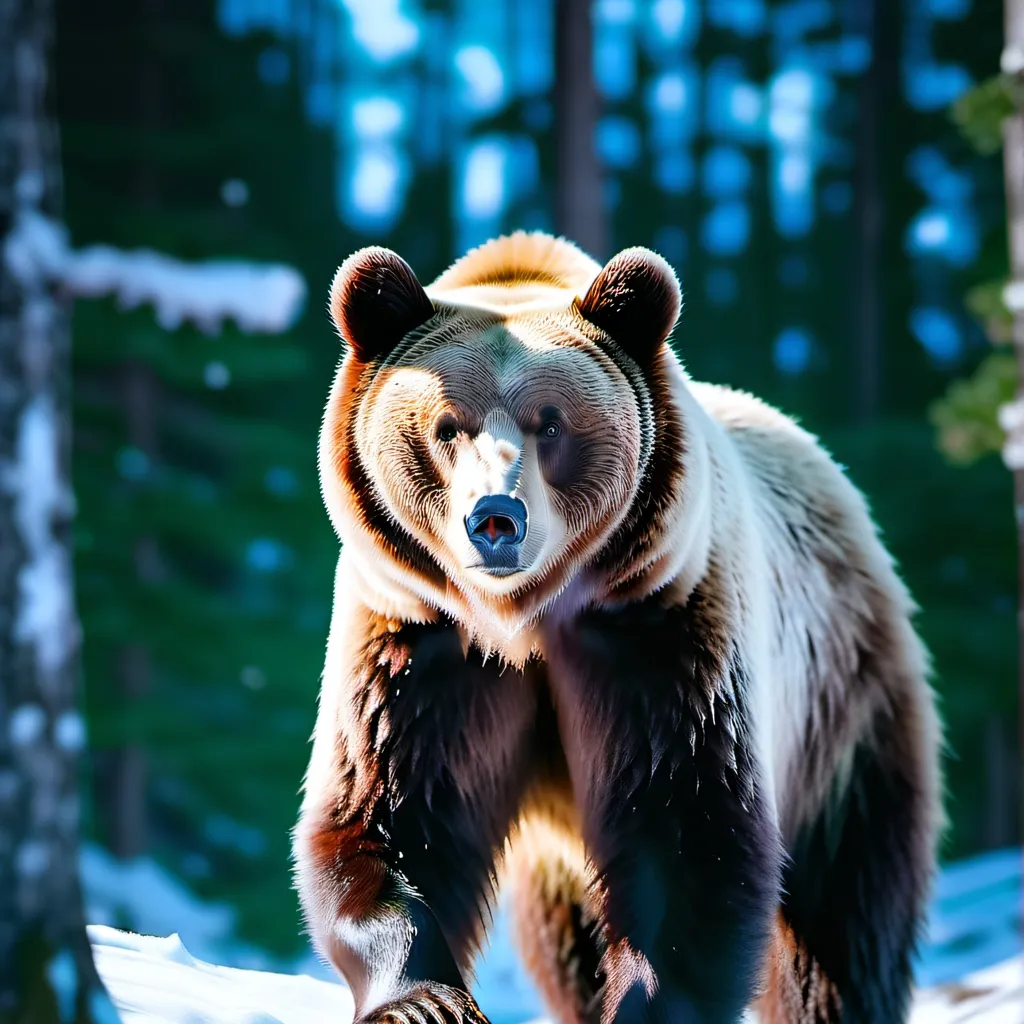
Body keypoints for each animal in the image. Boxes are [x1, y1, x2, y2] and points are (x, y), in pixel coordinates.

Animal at [293, 231, 943, 1024]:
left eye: (550, 422)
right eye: (448, 426)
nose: (495, 520)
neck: (523, 624)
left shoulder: (659, 633)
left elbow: (684, 828)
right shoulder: (417, 645)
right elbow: (392, 812)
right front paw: (423, 1000)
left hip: (841, 703)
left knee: (846, 908)